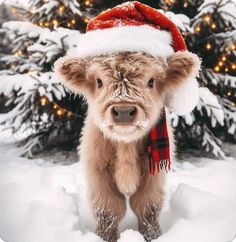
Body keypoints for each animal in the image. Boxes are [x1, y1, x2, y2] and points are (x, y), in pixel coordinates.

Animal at [54, 50, 200, 240]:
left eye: (151, 81)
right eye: (99, 81)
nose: (123, 112)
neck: (126, 146)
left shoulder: (153, 175)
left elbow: (148, 208)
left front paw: (153, 236)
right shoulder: (98, 172)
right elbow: (108, 211)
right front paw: (104, 237)